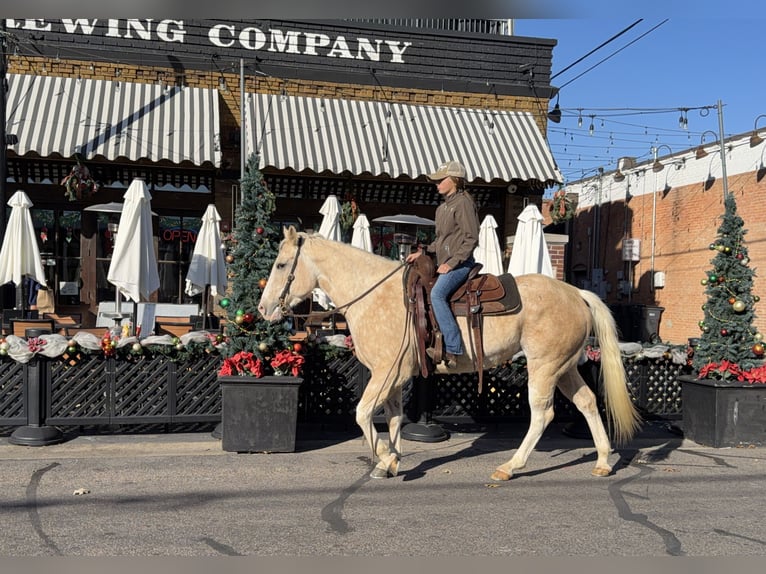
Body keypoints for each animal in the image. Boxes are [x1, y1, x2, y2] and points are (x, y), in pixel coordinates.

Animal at [258, 227, 641, 481]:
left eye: (281, 265)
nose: (263, 309)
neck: (375, 295)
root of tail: (576, 293)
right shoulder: (394, 377)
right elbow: (393, 418)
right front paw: (390, 460)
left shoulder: (386, 373)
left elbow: (364, 415)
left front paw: (384, 457)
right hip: (563, 368)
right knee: (588, 402)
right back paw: (603, 460)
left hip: (544, 368)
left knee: (542, 415)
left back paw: (510, 466)